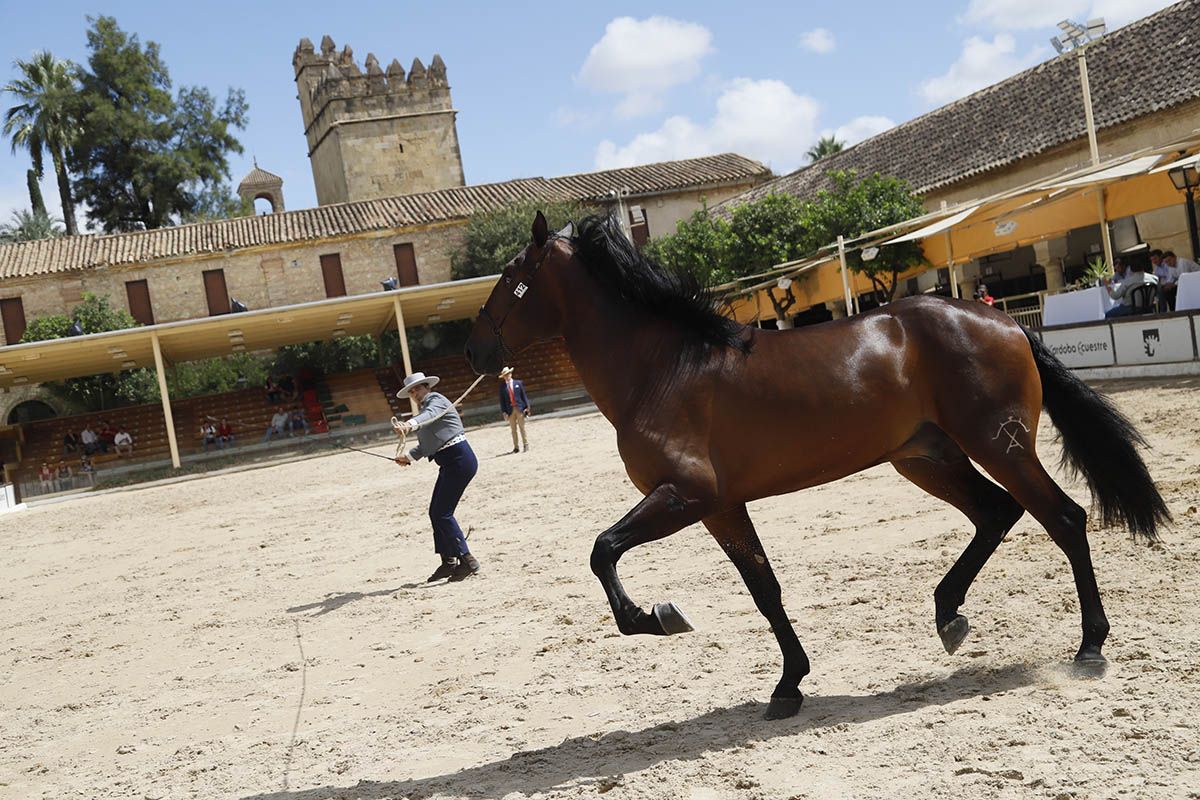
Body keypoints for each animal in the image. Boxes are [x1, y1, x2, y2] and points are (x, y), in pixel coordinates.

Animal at [463, 212, 1166, 719]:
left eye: (511, 278)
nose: (476, 350)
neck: (664, 368)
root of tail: (1007, 323)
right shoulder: (721, 505)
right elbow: (764, 588)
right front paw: (788, 685)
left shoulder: (685, 494)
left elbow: (602, 549)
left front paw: (655, 619)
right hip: (926, 458)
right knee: (999, 513)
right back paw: (948, 615)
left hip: (1001, 446)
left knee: (1063, 519)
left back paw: (1090, 648)